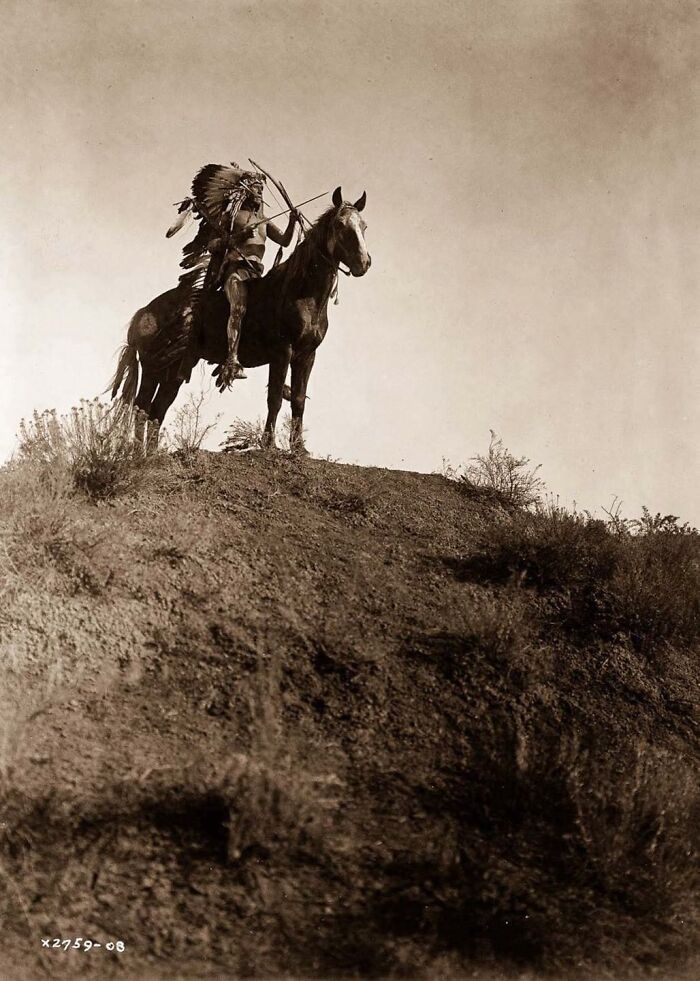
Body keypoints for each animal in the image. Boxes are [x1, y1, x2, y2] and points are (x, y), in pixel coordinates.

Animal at [109, 187, 370, 453]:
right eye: (340, 225)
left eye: (364, 226)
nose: (364, 263)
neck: (300, 292)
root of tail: (143, 313)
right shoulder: (282, 351)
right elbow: (275, 398)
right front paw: (269, 444)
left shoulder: (306, 355)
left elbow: (298, 400)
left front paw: (298, 448)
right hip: (152, 368)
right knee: (141, 407)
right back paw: (138, 454)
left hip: (173, 371)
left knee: (156, 411)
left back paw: (151, 453)